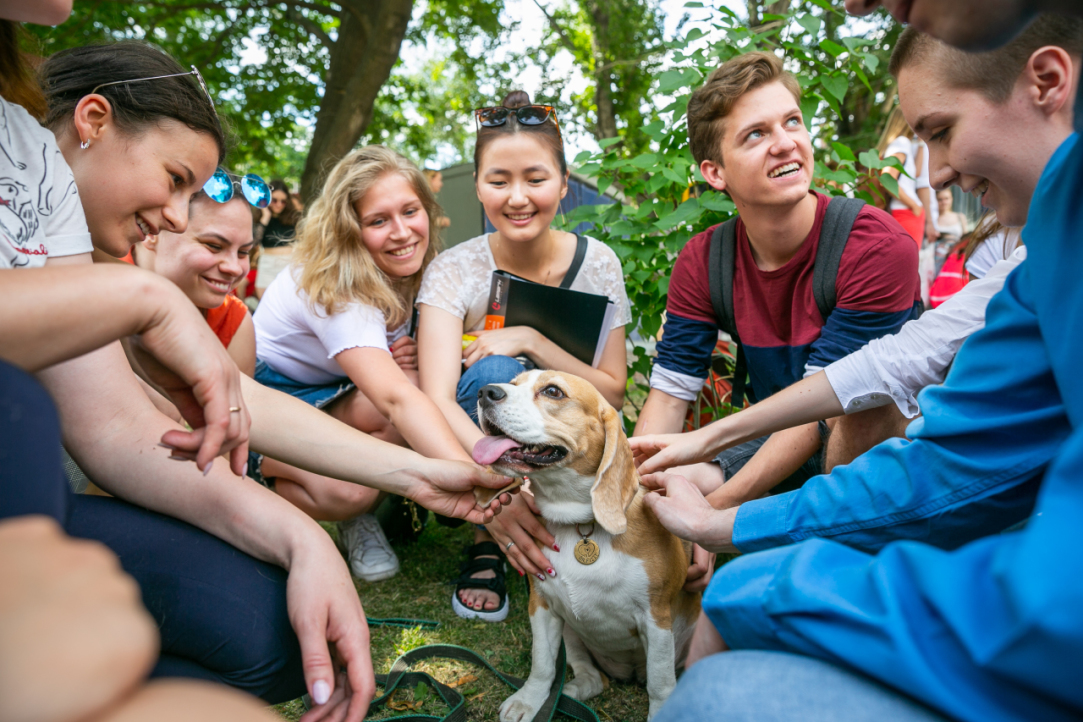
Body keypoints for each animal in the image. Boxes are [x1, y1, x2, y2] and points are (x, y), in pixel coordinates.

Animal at [474, 370, 701, 718]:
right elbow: (542, 665)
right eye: (513, 383)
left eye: (553, 391)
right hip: (572, 632)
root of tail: (628, 673)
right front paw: (530, 699)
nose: (486, 392)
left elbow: (661, 683)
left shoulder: (656, 619)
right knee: (593, 679)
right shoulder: (542, 606)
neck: (580, 524)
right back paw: (569, 693)